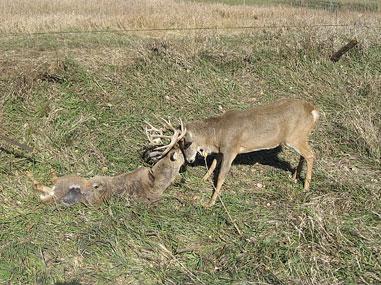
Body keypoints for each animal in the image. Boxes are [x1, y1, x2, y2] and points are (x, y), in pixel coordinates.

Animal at [145, 98, 318, 205]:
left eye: (185, 144)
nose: (189, 160)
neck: (217, 134)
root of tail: (313, 111)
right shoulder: (222, 151)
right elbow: (214, 163)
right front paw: (203, 178)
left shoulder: (231, 149)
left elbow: (221, 176)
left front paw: (210, 203)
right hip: (299, 137)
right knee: (304, 154)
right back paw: (294, 177)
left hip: (294, 137)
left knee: (311, 155)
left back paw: (305, 187)